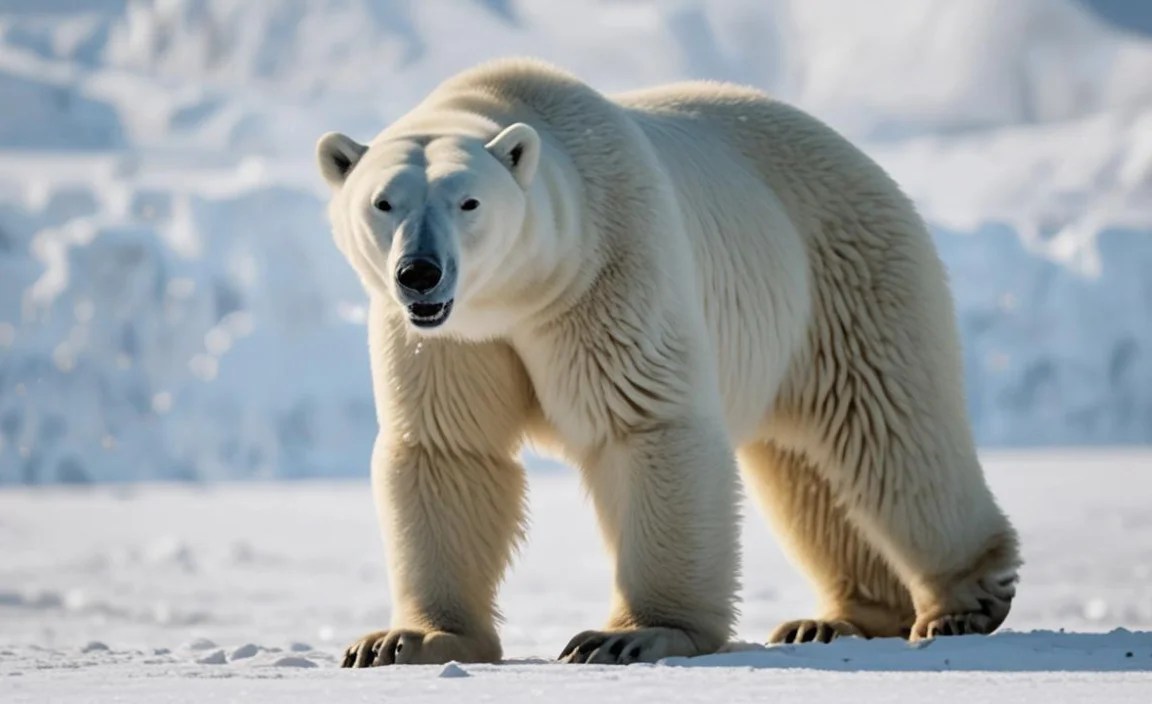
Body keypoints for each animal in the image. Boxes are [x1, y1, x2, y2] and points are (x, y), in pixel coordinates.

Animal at [315, 57, 1021, 667]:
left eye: (468, 202)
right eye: (383, 202)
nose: (420, 273)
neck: (521, 295)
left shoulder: (609, 268)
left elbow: (647, 422)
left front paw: (630, 635)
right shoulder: (449, 340)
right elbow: (447, 448)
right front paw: (403, 641)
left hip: (846, 279)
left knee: (891, 431)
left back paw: (965, 601)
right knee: (804, 469)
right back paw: (833, 619)